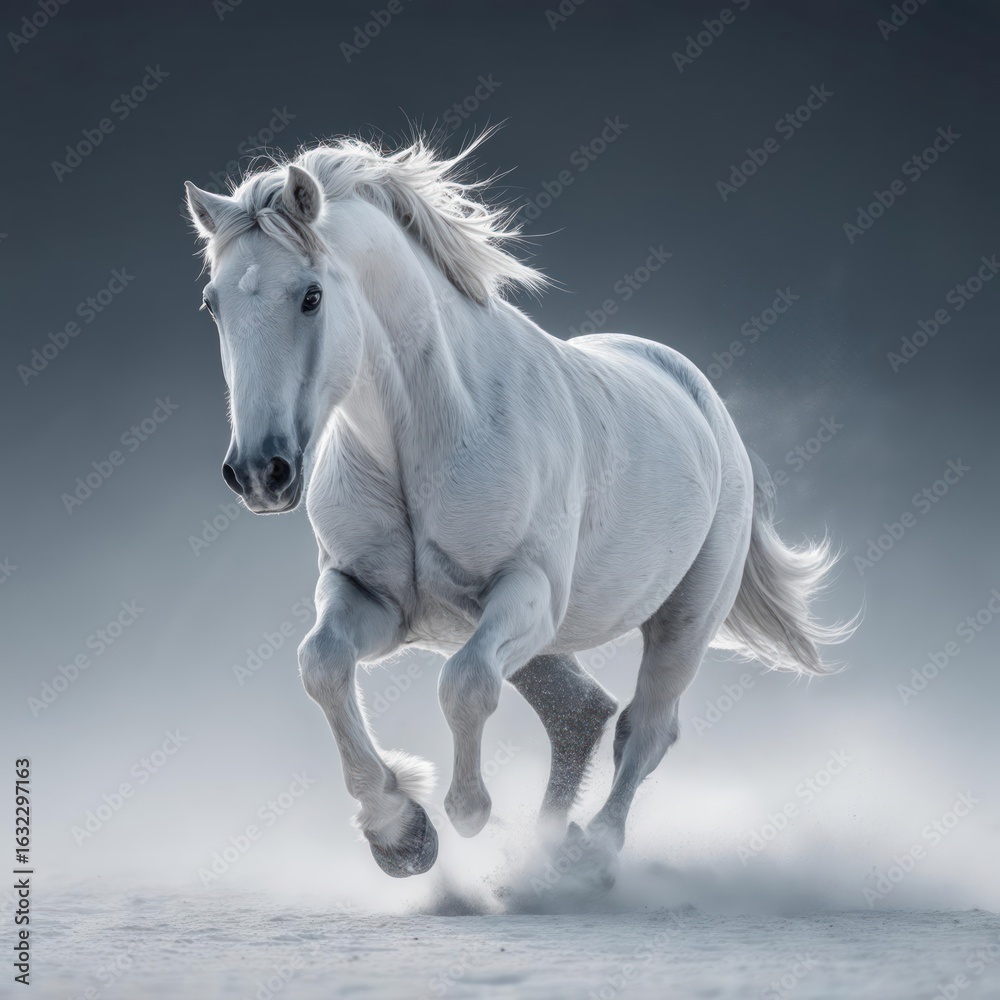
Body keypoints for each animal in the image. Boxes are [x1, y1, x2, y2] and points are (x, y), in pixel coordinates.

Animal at [183, 134, 854, 889]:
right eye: (212, 304)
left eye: (310, 295)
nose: (259, 473)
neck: (430, 430)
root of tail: (706, 406)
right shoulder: (370, 598)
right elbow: (322, 665)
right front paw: (399, 833)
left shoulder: (526, 592)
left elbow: (466, 683)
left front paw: (466, 812)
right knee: (581, 713)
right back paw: (546, 854)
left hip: (683, 620)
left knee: (645, 727)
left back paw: (589, 857)